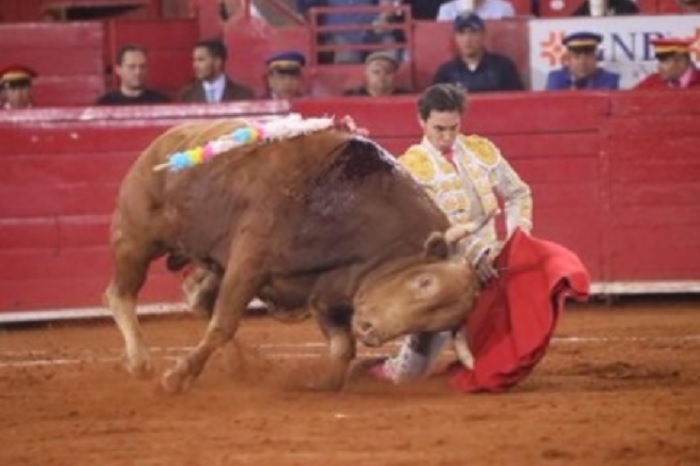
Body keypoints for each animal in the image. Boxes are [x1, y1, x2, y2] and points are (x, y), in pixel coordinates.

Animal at [104, 117, 479, 394]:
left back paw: (238, 365)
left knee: (196, 295)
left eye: (431, 326)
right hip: (136, 239)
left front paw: (319, 384)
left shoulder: (326, 292)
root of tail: (165, 140)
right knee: (120, 294)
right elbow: (223, 323)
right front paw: (175, 379)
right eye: (424, 281)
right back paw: (141, 362)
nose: (370, 330)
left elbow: (343, 347)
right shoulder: (248, 264)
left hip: (210, 260)